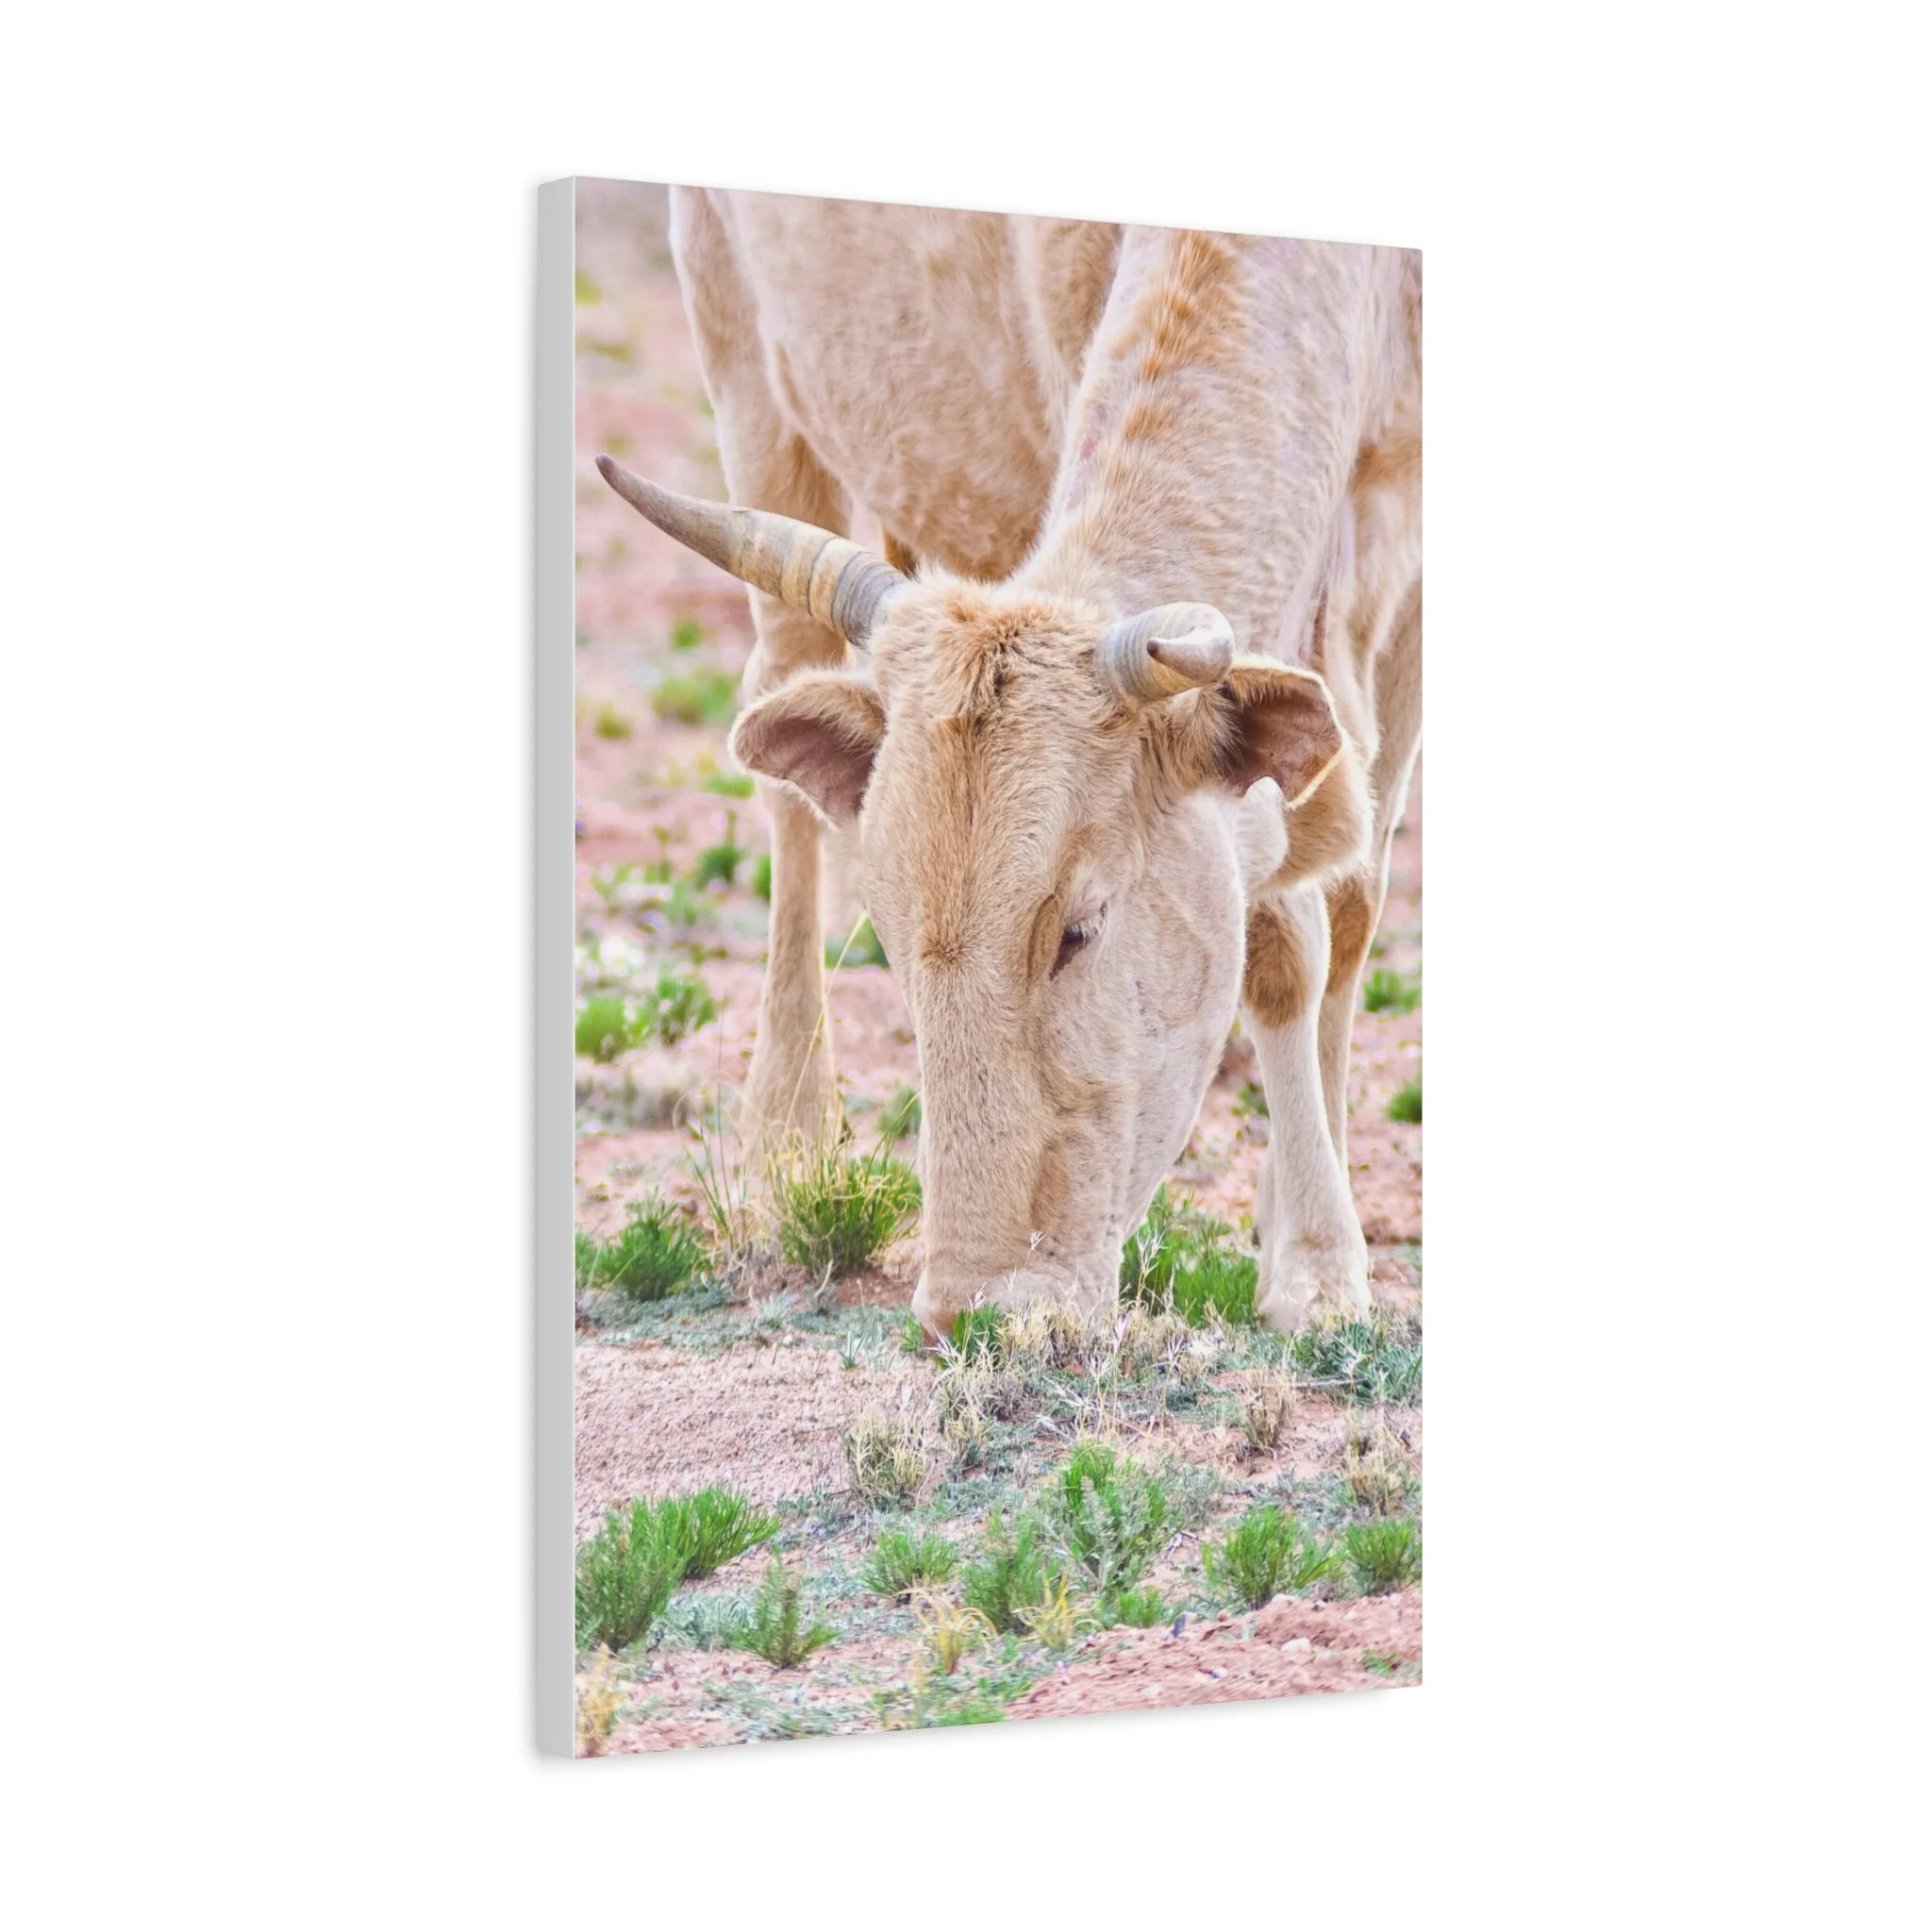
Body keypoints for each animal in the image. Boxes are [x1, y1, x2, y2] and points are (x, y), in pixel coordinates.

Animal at [596, 191, 1420, 1336]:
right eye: (889, 931)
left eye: (1078, 928)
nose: (973, 1308)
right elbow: (1279, 928)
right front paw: (1315, 1257)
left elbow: (1337, 920)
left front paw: (1310, 1258)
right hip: (751, 385)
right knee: (787, 766)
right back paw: (783, 1144)